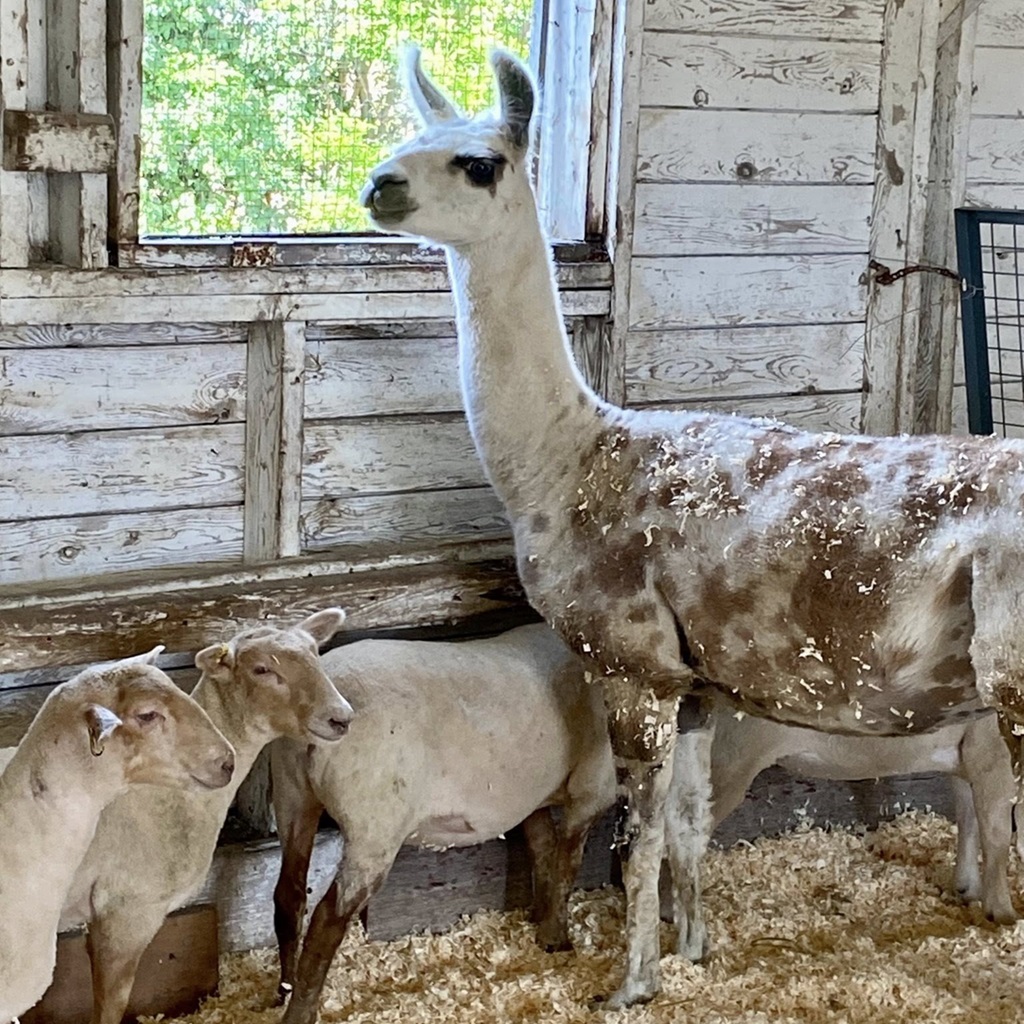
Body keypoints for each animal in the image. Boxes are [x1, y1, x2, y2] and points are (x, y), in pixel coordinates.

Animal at [270, 622, 616, 1024]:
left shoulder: (529, 800)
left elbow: (542, 850)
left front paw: (542, 923)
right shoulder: (594, 785)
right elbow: (566, 864)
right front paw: (557, 937)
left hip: (292, 793)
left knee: (289, 895)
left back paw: (285, 989)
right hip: (374, 823)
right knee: (329, 916)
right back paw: (301, 1010)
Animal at [665, 705, 1019, 960]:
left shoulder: (965, 753)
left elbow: (968, 816)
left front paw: (967, 887)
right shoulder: (992, 746)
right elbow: (996, 831)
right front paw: (1003, 914)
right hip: (726, 762)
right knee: (680, 837)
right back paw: (689, 938)